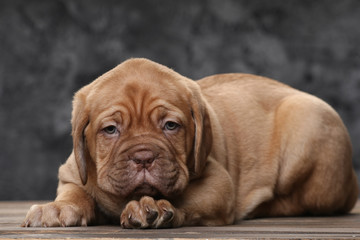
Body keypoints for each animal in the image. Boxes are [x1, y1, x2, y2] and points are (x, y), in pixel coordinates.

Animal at [23, 58, 358, 229]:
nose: (144, 157)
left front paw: (156, 208)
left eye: (171, 125)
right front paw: (57, 209)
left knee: (298, 201)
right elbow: (75, 191)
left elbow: (188, 199)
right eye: (110, 129)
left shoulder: (218, 182)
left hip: (307, 124)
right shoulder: (71, 172)